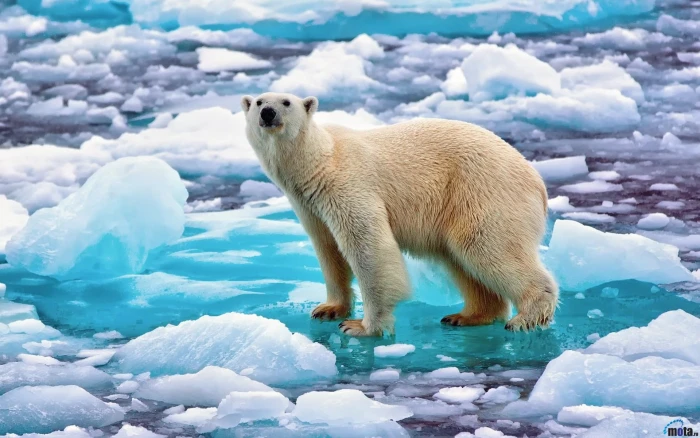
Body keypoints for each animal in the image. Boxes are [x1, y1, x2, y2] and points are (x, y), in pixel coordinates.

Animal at [241, 92, 558, 337]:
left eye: (286, 102)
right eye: (258, 101)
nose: (268, 113)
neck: (319, 161)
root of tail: (537, 181)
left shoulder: (347, 185)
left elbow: (369, 247)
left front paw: (361, 326)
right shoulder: (310, 205)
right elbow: (328, 250)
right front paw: (327, 308)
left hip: (483, 192)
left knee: (486, 246)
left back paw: (525, 318)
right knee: (461, 259)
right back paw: (466, 316)